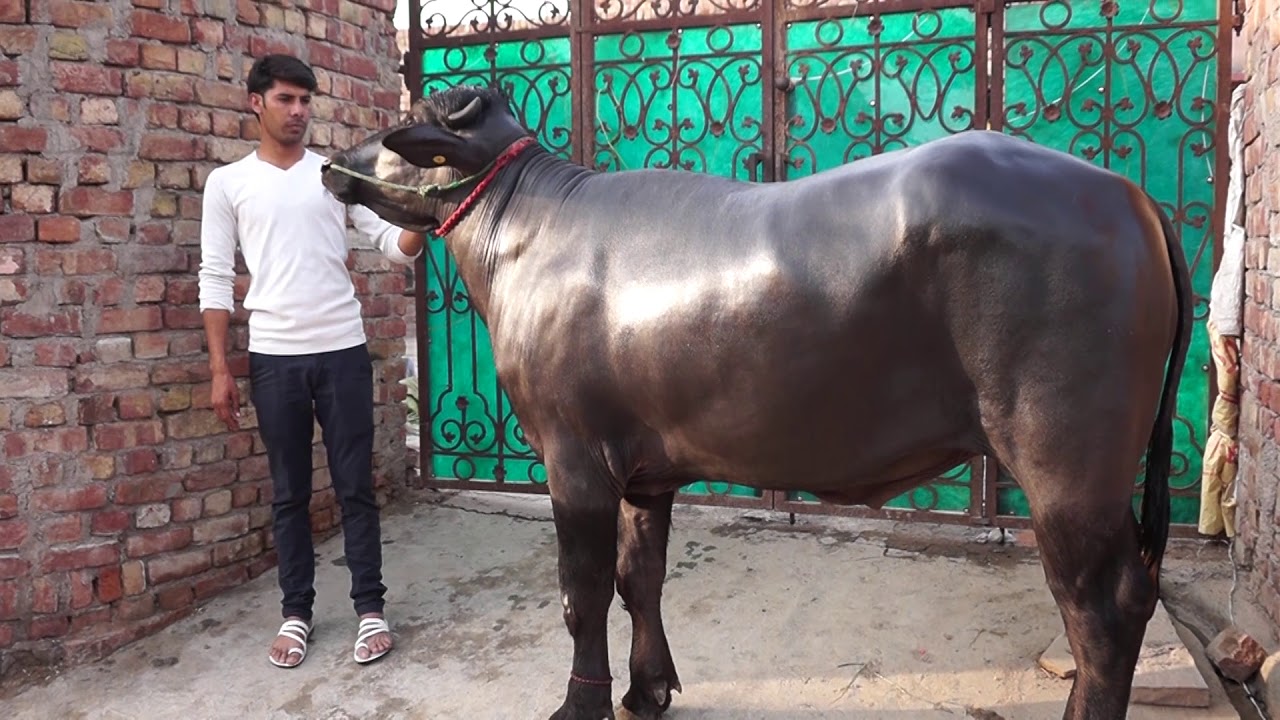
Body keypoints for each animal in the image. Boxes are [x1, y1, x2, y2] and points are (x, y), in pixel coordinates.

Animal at [320, 84, 1192, 720]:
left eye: (401, 127)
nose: (330, 163)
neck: (528, 234)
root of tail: (1131, 196)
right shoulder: (643, 474)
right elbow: (640, 579)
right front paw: (648, 688)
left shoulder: (574, 464)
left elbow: (582, 595)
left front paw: (581, 703)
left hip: (1065, 468)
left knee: (1103, 611)